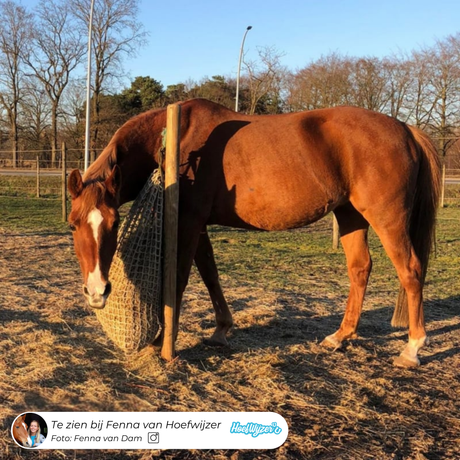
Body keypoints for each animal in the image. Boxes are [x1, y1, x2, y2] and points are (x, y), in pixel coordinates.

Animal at [68, 99, 442, 366]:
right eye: (73, 223)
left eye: (115, 221)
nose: (97, 292)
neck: (177, 140)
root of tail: (406, 129)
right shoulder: (199, 226)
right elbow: (210, 274)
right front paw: (221, 330)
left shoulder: (188, 221)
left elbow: (180, 280)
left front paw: (162, 343)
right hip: (350, 215)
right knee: (360, 269)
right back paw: (340, 336)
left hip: (386, 218)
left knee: (410, 271)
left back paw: (412, 349)